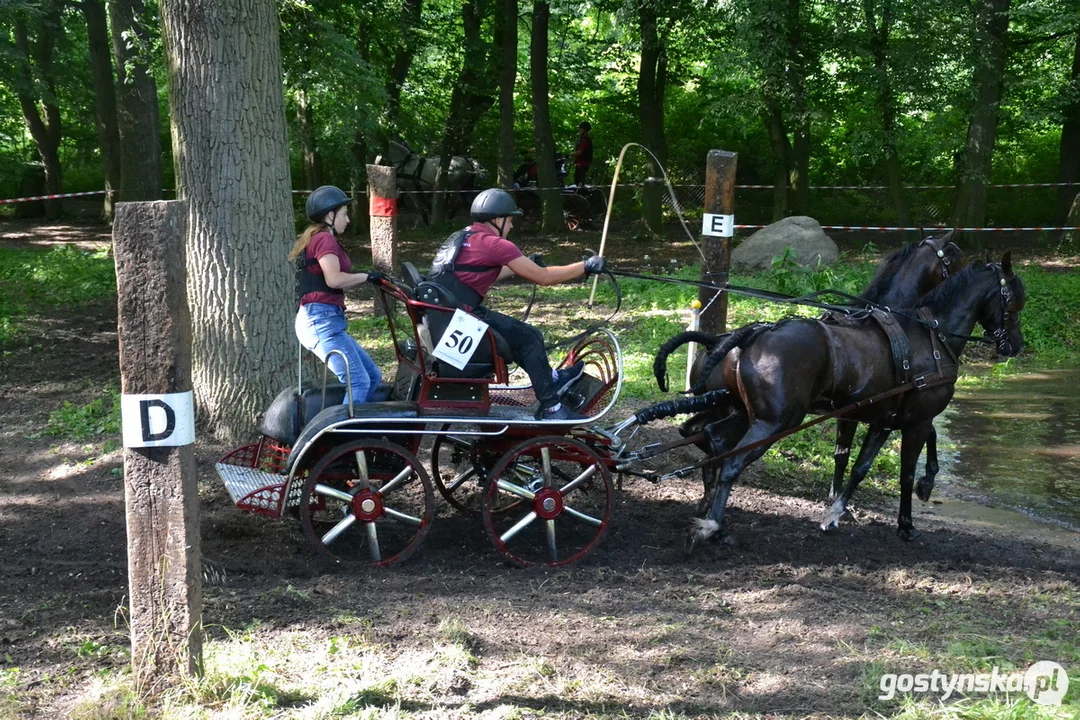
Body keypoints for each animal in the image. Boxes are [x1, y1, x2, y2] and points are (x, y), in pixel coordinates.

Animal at [652, 236, 967, 518]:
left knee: (697, 432)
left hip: (723, 407)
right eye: (953, 258)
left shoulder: (864, 410)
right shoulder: (869, 409)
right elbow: (854, 451)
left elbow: (846, 452)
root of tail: (716, 342)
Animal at [678, 254, 1023, 552]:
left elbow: (859, 467)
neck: (931, 337)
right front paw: (908, 521)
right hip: (774, 422)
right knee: (731, 463)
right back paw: (713, 526)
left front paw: (835, 514)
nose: (1015, 345)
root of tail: (752, 335)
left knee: (713, 439)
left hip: (740, 413)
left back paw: (709, 512)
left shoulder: (883, 418)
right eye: (1015, 301)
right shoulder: (917, 420)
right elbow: (905, 471)